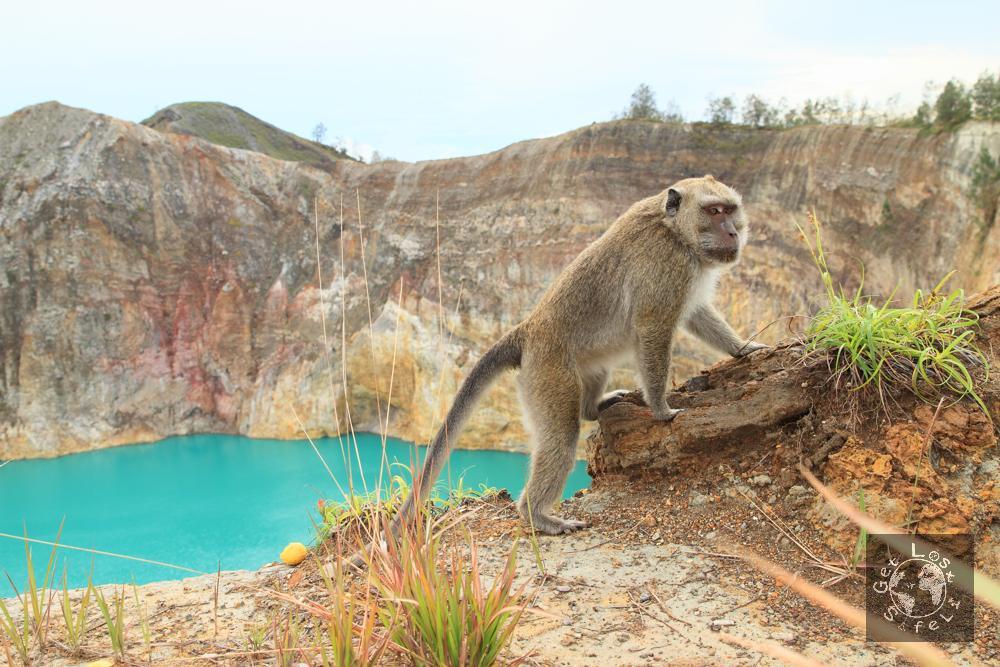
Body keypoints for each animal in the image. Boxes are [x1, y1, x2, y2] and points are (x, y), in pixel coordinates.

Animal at [348, 175, 760, 568]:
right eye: (714, 211)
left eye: (730, 210)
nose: (733, 232)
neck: (676, 232)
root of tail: (528, 330)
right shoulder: (667, 267)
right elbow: (653, 328)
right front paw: (661, 408)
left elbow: (695, 314)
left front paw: (743, 348)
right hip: (547, 372)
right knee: (560, 435)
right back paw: (537, 515)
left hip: (574, 364)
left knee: (590, 386)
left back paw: (595, 407)